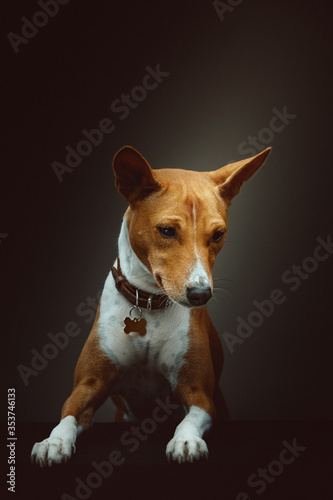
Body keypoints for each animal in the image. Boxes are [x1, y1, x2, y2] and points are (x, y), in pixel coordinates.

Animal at [30, 145, 270, 464]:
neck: (147, 304)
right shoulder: (88, 384)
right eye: (167, 231)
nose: (200, 294)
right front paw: (53, 441)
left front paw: (185, 441)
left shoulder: (199, 393)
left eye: (218, 235)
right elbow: (67, 415)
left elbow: (191, 418)